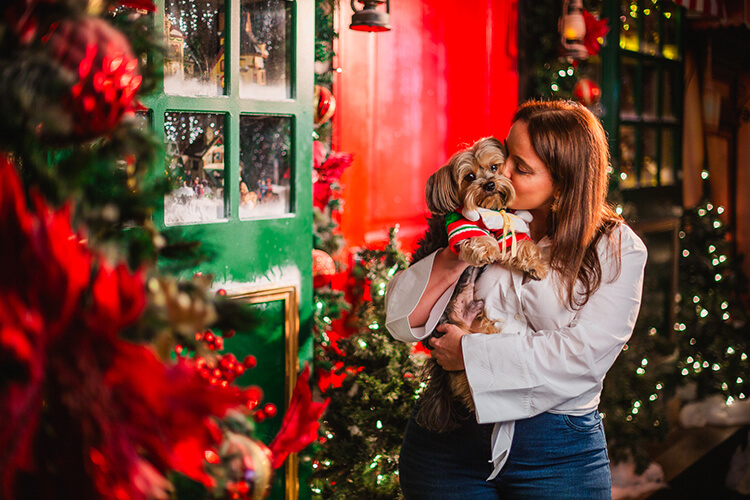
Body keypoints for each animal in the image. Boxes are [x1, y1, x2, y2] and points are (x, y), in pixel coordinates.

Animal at [414, 138, 548, 434]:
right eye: (469, 177)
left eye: (494, 167)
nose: (489, 184)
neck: (486, 208)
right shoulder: (459, 224)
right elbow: (475, 238)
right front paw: (486, 249)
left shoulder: (507, 228)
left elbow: (520, 243)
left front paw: (536, 265)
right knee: (463, 378)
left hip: (480, 326)